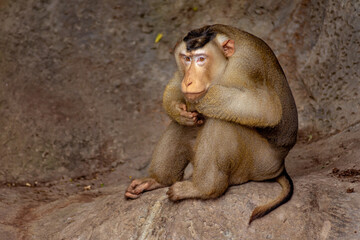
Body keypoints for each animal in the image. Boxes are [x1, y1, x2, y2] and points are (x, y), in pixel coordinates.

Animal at [126, 24, 298, 223]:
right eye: (187, 59)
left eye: (201, 59)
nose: (189, 81)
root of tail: (280, 167)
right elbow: (176, 83)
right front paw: (178, 109)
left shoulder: (245, 67)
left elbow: (268, 109)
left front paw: (203, 98)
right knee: (186, 127)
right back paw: (157, 180)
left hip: (259, 163)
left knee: (222, 121)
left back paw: (203, 189)